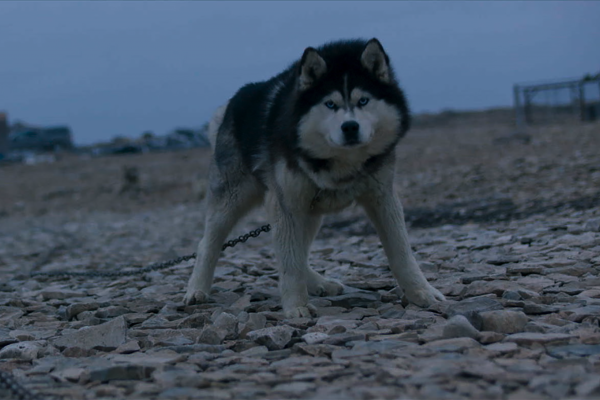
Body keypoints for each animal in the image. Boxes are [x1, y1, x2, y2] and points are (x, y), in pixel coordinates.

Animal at [184, 39, 446, 318]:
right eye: (330, 104)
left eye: (363, 100)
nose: (350, 127)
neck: (342, 164)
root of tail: (231, 104)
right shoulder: (285, 204)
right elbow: (290, 262)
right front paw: (296, 306)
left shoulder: (382, 197)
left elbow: (402, 252)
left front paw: (422, 292)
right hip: (232, 201)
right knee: (207, 244)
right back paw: (197, 290)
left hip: (311, 212)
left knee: (301, 250)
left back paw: (319, 283)